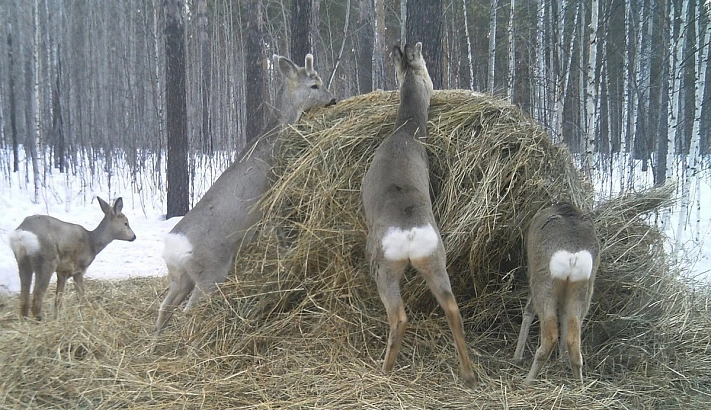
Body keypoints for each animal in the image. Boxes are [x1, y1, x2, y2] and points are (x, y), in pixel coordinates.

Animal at [8, 197, 136, 322]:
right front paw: (83, 316)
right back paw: (40, 322)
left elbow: (58, 299)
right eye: (126, 223)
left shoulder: (62, 271)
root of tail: (21, 234)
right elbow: (81, 296)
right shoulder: (78, 268)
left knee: (24, 298)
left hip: (23, 262)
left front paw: (57, 318)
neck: (93, 242)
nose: (134, 236)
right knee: (37, 298)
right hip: (47, 261)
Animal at [154, 52, 338, 334]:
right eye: (314, 85)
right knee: (188, 310)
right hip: (210, 272)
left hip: (180, 276)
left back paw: (156, 340)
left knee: (164, 308)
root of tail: (175, 248)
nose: (333, 99)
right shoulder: (273, 186)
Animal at [362, 43, 478, 390]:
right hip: (436, 260)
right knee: (453, 309)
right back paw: (469, 374)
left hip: (383, 266)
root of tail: (411, 233)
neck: (406, 135)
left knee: (399, 316)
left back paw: (384, 370)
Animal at [516, 203, 596, 384]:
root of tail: (573, 256)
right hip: (584, 287)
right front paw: (561, 359)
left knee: (549, 335)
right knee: (573, 339)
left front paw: (517, 356)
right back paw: (579, 386)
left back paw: (526, 382)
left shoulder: (532, 274)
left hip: (543, 281)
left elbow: (528, 310)